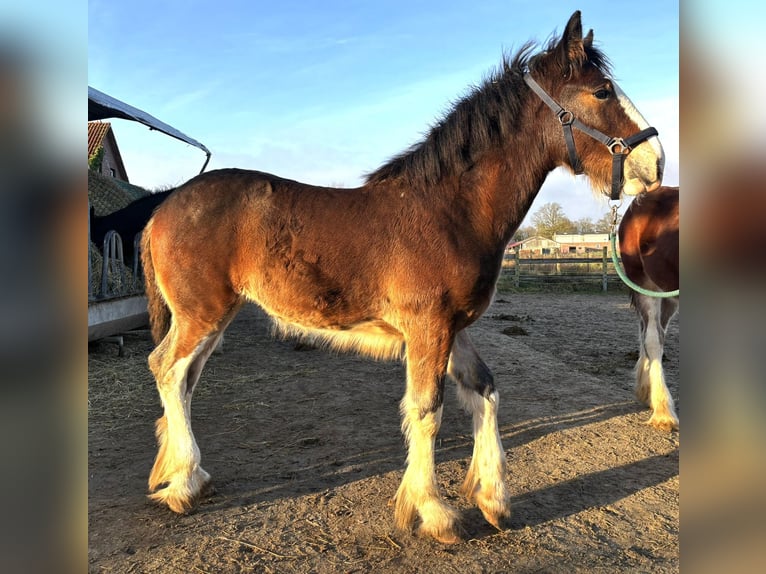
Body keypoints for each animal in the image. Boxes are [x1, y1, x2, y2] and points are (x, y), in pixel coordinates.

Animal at [140, 11, 665, 544]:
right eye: (602, 91)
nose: (656, 162)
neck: (449, 211)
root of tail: (164, 207)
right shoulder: (428, 327)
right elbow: (426, 410)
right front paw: (433, 511)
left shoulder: (452, 327)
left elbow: (484, 390)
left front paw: (493, 498)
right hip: (203, 314)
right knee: (169, 370)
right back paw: (183, 488)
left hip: (209, 319)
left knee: (184, 380)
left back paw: (188, 476)